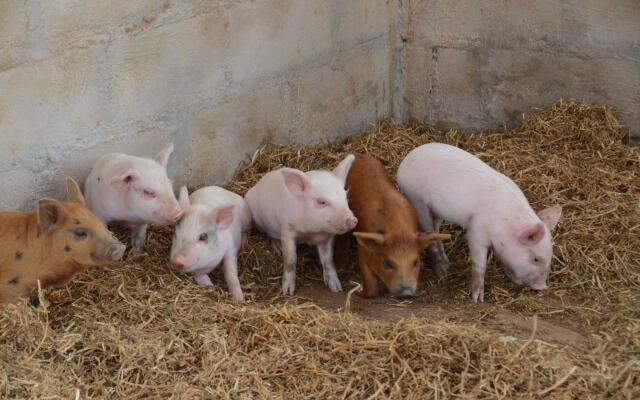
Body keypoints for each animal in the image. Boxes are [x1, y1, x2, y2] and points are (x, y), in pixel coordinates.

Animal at [244, 155, 358, 296]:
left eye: (345, 198)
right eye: (322, 202)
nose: (353, 220)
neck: (312, 233)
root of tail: (256, 186)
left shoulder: (328, 238)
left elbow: (329, 260)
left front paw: (336, 288)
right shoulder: (287, 230)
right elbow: (290, 259)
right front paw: (287, 292)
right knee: (269, 234)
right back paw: (278, 249)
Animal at [336, 153, 450, 296]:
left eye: (416, 262)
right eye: (387, 263)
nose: (406, 292)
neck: (398, 230)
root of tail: (359, 155)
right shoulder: (363, 250)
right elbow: (371, 286)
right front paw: (359, 292)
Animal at [398, 142, 564, 302]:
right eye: (536, 259)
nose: (542, 287)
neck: (505, 227)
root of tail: (405, 160)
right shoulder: (477, 230)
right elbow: (479, 264)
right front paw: (477, 298)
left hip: (436, 209)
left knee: (435, 230)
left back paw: (447, 264)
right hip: (416, 199)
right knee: (428, 230)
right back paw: (442, 273)